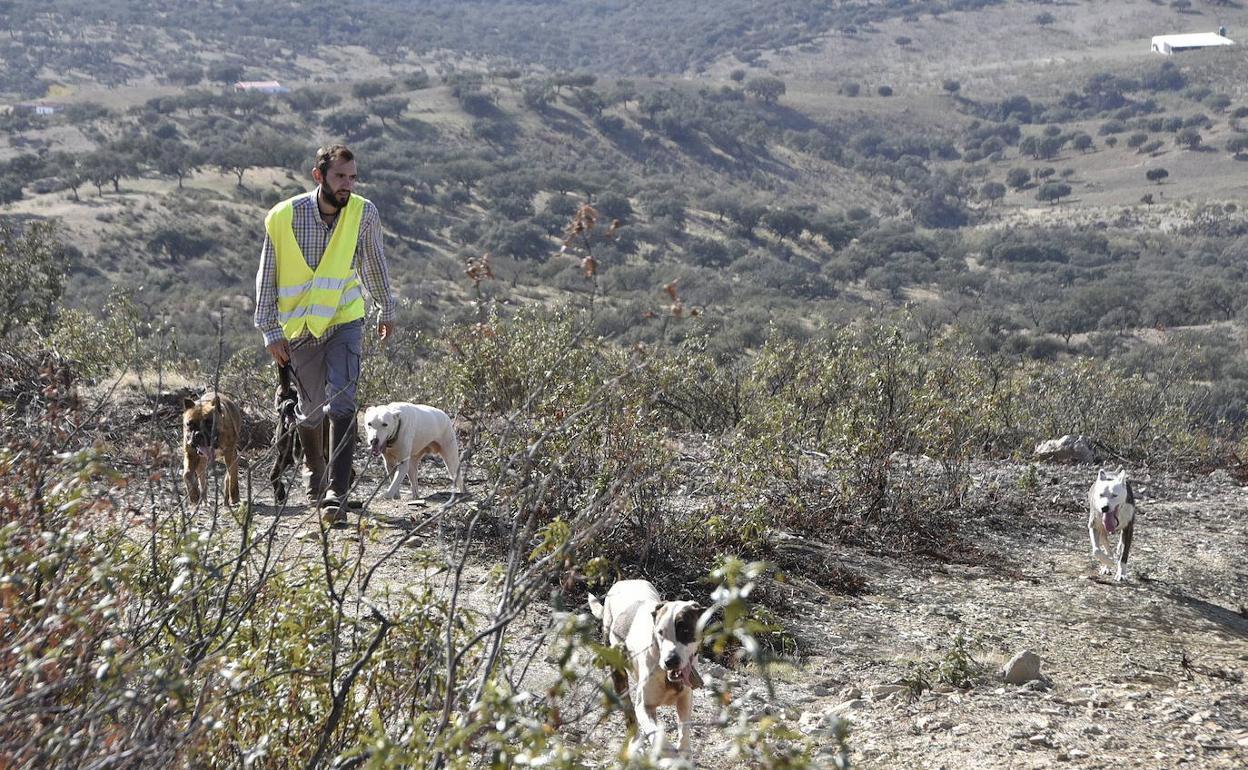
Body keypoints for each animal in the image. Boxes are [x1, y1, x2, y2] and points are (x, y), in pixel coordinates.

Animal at [586, 579, 703, 753]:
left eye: (685, 630)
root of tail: (625, 581)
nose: (670, 660)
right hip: (619, 673)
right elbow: (659, 737)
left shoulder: (685, 699)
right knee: (629, 713)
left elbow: (685, 731)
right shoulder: (644, 707)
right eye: (660, 632)